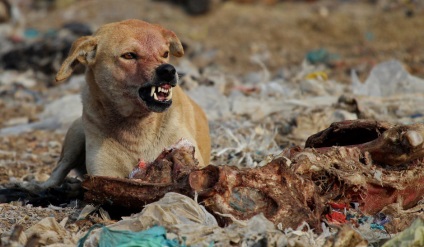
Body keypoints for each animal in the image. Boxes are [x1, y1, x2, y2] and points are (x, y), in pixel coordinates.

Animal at [41, 19, 210, 188]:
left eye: (165, 54)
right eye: (129, 55)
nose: (168, 70)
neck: (137, 128)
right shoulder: (103, 172)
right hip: (75, 134)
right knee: (59, 168)